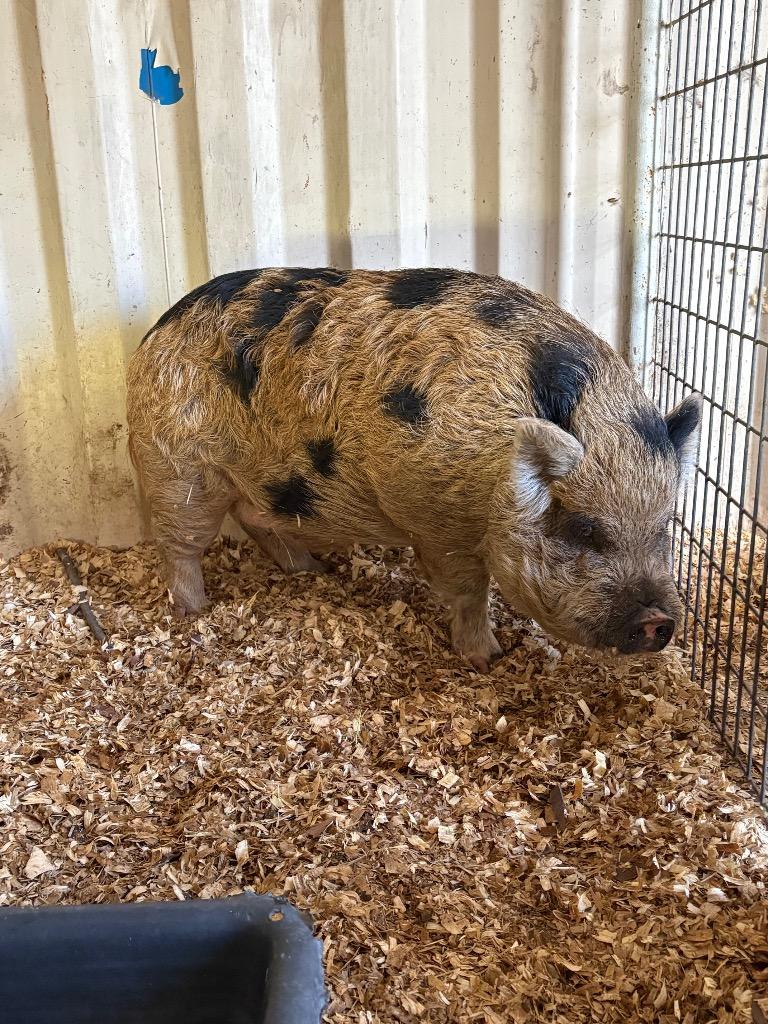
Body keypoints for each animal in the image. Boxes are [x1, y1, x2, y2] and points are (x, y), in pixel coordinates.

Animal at [126, 267, 702, 671]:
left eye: (664, 529)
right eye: (585, 529)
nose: (658, 621)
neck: (495, 465)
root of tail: (153, 335)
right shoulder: (436, 520)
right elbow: (468, 591)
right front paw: (487, 658)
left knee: (254, 517)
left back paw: (312, 572)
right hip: (178, 466)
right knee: (180, 544)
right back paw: (195, 611)